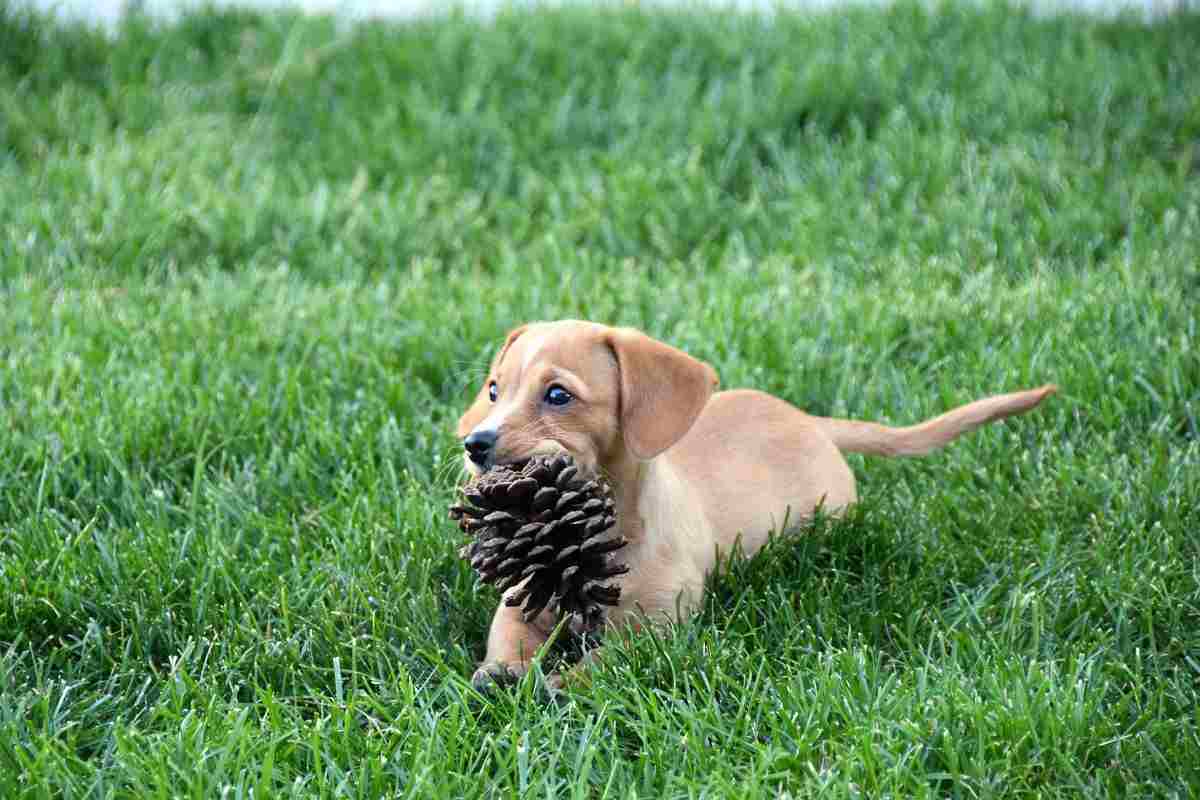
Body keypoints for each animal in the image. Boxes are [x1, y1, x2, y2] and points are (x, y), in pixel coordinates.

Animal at [453, 319, 1056, 690]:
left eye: (558, 395)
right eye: (493, 390)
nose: (474, 445)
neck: (594, 540)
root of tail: (811, 423)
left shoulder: (657, 629)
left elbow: (608, 660)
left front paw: (560, 683)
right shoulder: (521, 600)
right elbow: (506, 637)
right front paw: (501, 672)